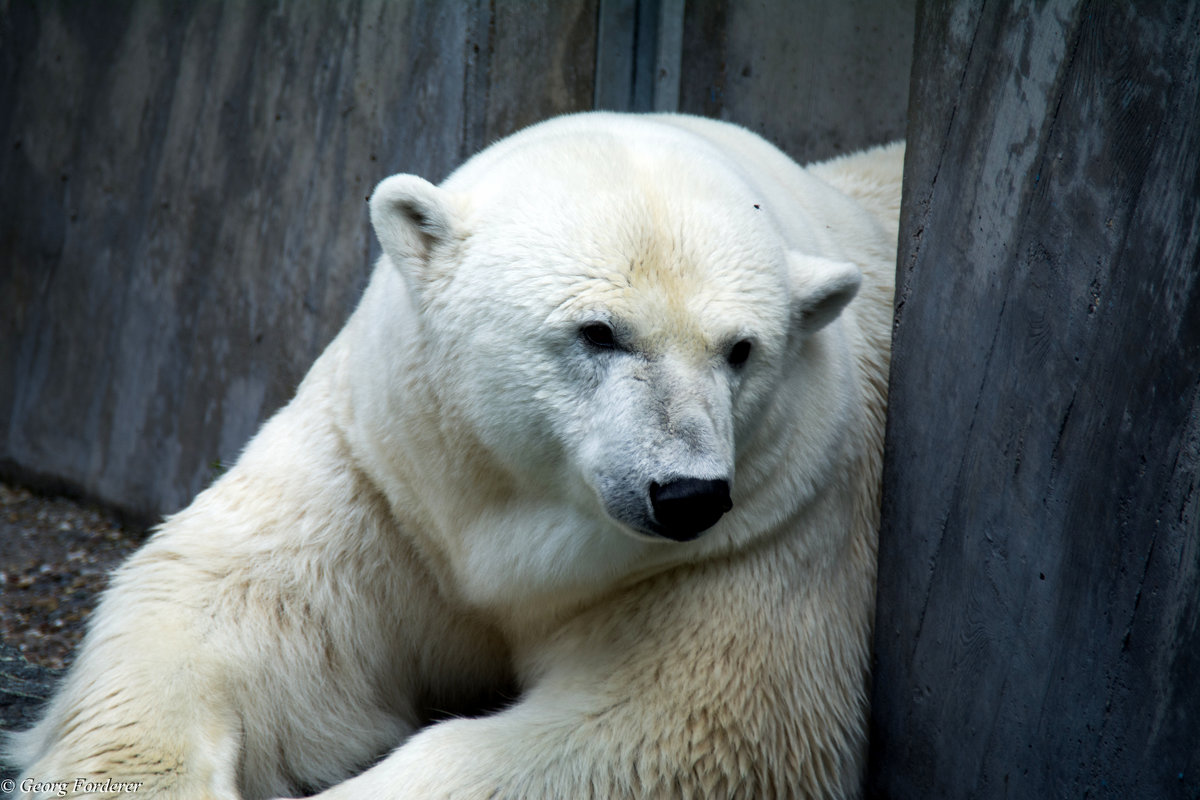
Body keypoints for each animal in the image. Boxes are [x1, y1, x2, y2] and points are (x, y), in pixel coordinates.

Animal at [11, 113, 902, 800]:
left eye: (742, 350)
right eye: (599, 332)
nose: (686, 494)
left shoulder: (760, 534)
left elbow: (672, 734)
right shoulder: (387, 470)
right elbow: (229, 608)